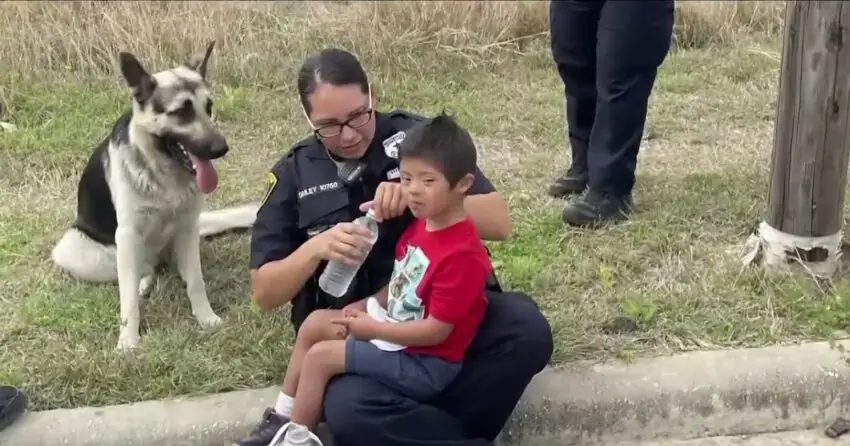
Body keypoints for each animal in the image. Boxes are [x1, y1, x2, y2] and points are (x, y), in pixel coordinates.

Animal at [47, 41, 255, 350]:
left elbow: (196, 282)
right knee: (136, 273)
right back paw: (141, 284)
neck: (164, 177)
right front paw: (128, 342)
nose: (221, 149)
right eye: (181, 111)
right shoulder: (127, 234)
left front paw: (206, 319)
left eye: (208, 107)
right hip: (78, 251)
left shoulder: (187, 228)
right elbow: (128, 301)